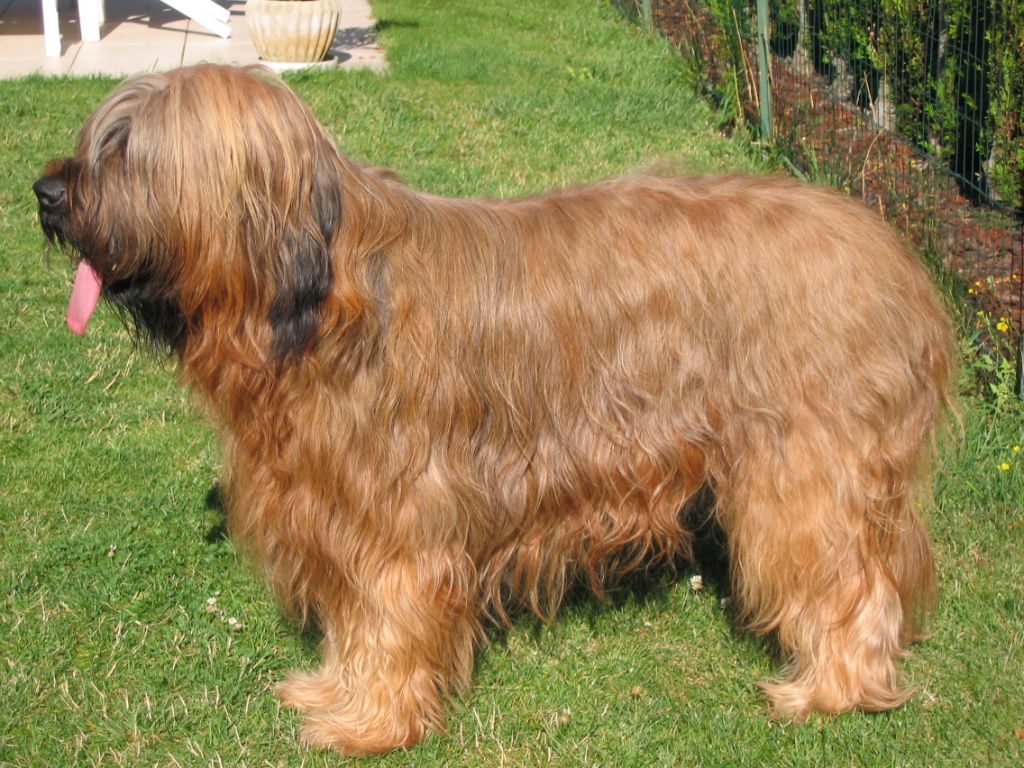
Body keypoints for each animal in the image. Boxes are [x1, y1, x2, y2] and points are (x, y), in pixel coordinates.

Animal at [34, 64, 955, 755]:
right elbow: (353, 620)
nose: (44, 192)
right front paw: (332, 690)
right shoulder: (335, 507)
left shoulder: (399, 514)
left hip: (807, 469)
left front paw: (370, 723)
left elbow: (389, 616)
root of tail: (896, 258)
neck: (319, 294)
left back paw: (829, 691)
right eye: (99, 138)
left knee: (849, 578)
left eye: (127, 149)